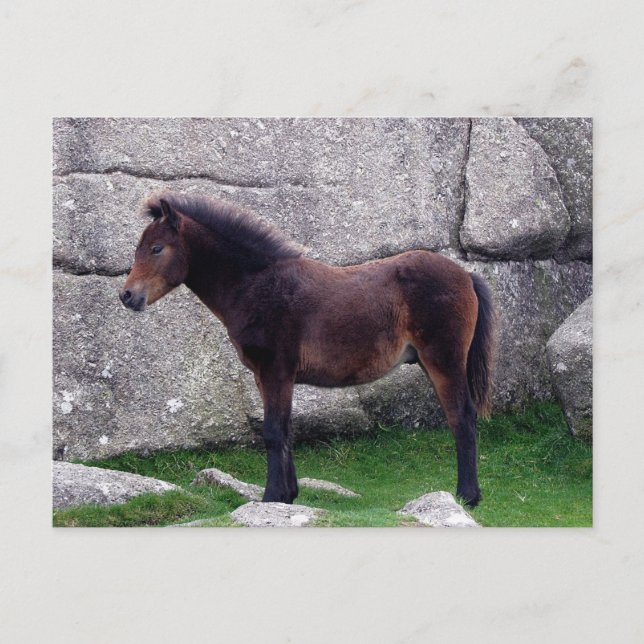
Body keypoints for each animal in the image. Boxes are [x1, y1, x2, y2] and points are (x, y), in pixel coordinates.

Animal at [120, 192, 495, 507]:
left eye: (157, 248)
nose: (127, 295)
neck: (258, 285)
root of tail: (466, 275)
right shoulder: (266, 376)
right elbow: (284, 429)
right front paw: (288, 495)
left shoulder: (276, 370)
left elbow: (273, 431)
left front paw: (271, 497)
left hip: (443, 360)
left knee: (461, 417)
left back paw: (467, 496)